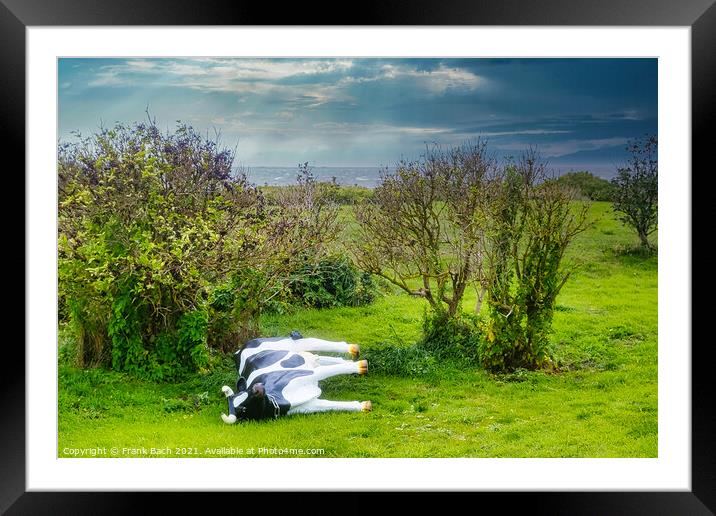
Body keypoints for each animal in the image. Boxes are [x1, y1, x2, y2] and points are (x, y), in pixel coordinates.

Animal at [221, 330, 372, 424]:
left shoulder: (307, 373)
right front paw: (364, 406)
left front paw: (361, 366)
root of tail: (238, 351)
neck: (276, 399)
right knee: (326, 359)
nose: (257, 388)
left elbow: (328, 371)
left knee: (318, 343)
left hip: (289, 343)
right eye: (243, 409)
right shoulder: (308, 406)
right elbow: (331, 405)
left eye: (245, 391)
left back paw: (353, 349)